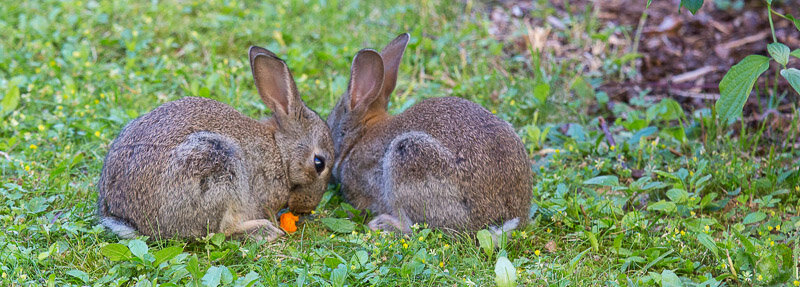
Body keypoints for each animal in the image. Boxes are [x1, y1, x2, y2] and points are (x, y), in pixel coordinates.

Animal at [97, 46, 334, 242]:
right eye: (319, 163)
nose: (307, 206)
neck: (281, 151)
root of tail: (131, 221)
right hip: (214, 165)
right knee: (216, 231)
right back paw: (264, 230)